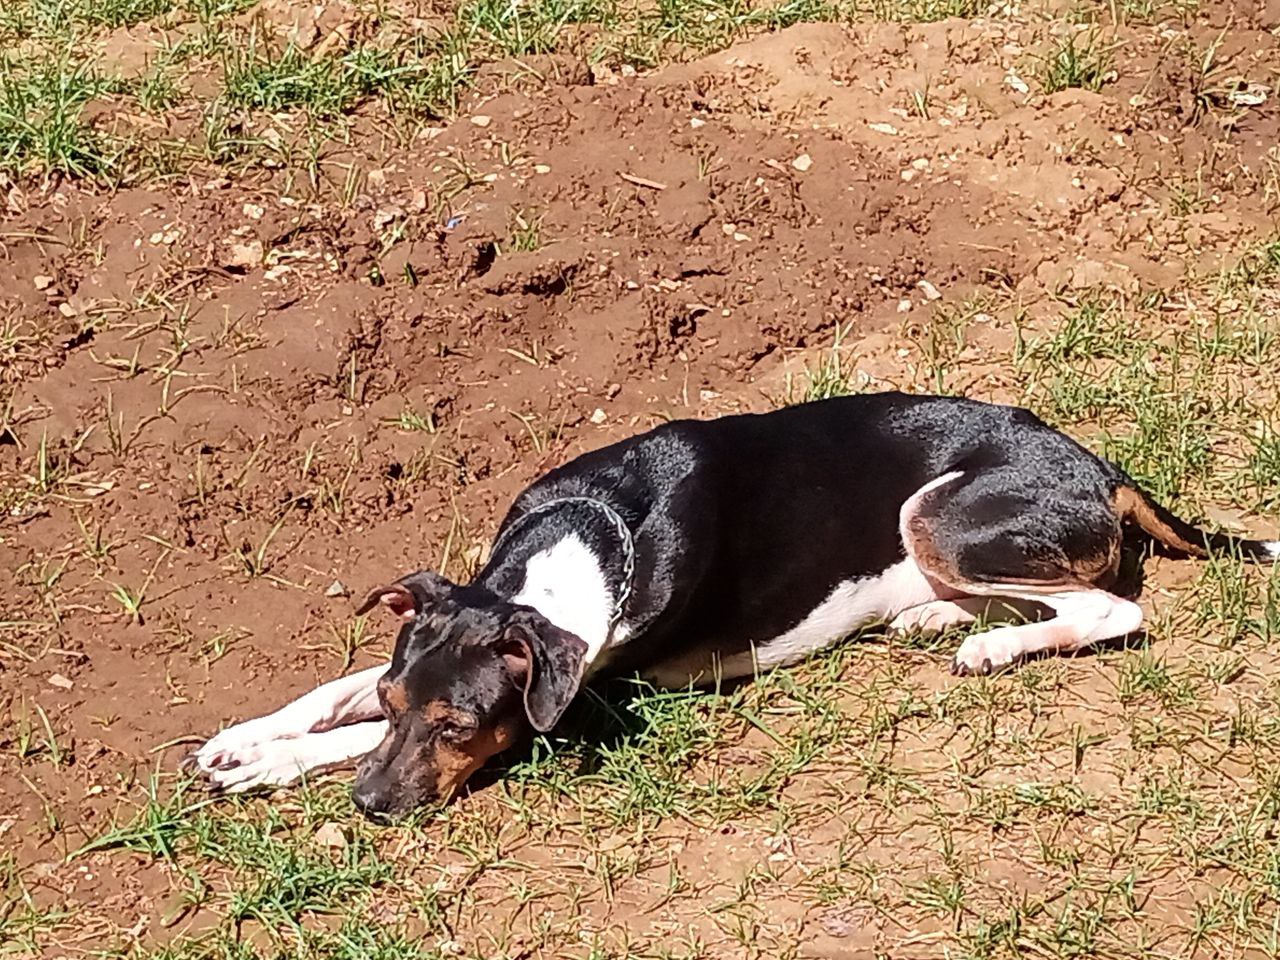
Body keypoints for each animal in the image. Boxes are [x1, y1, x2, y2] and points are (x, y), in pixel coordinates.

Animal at [185, 394, 1274, 824]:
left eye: (459, 726)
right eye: (402, 705)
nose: (371, 808)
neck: (585, 544)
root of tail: (1101, 465)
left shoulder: (573, 710)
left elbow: (334, 735)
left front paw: (270, 767)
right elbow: (336, 694)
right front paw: (242, 738)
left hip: (939, 513)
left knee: (1113, 612)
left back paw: (993, 651)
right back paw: (938, 621)